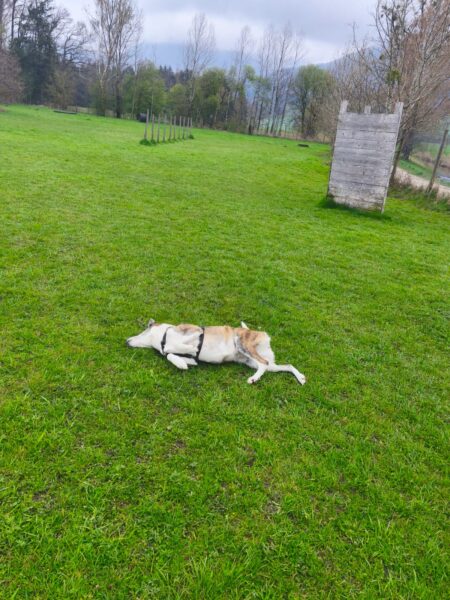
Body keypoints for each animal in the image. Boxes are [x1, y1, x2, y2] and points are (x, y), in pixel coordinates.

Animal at [127, 319, 306, 385]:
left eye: (142, 331)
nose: (126, 341)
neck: (164, 337)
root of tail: (262, 334)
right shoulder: (193, 359)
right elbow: (171, 354)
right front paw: (182, 363)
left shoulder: (195, 331)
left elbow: (172, 348)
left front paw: (189, 348)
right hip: (254, 362)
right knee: (285, 365)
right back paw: (301, 378)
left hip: (242, 344)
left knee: (264, 363)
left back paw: (253, 379)